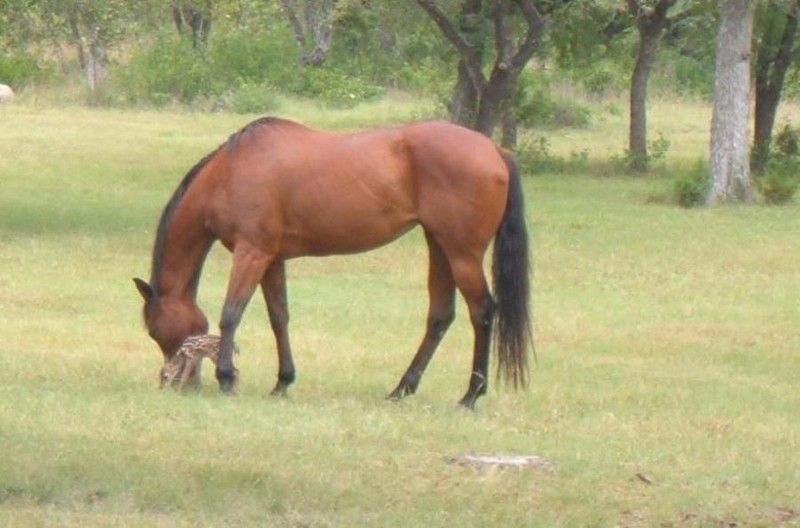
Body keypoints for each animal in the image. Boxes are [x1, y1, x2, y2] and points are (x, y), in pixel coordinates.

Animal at [134, 117, 532, 408]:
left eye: (155, 331)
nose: (173, 383)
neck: (230, 172)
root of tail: (494, 149)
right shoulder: (272, 259)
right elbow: (279, 318)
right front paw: (282, 382)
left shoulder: (252, 253)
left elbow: (231, 314)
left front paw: (227, 378)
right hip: (440, 245)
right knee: (440, 316)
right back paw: (402, 389)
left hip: (462, 253)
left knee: (482, 311)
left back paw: (470, 396)